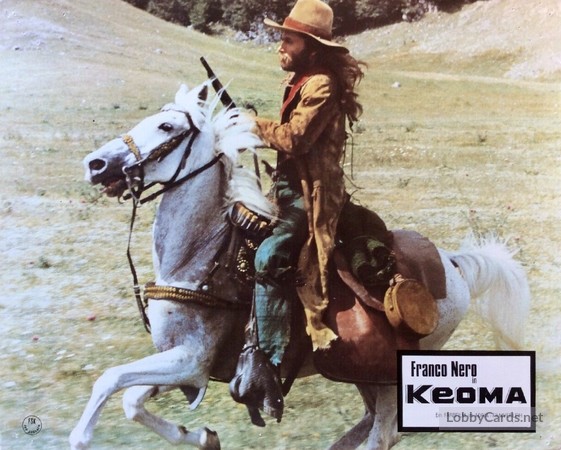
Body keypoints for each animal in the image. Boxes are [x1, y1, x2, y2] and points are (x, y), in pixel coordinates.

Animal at [70, 82, 530, 450]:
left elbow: (109, 380)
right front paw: (201, 436)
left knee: (383, 433)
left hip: (386, 377)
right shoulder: (181, 364)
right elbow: (130, 399)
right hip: (362, 371)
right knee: (371, 423)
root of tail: (451, 265)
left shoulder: (191, 358)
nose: (95, 164)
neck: (199, 259)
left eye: (166, 127)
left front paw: (82, 435)